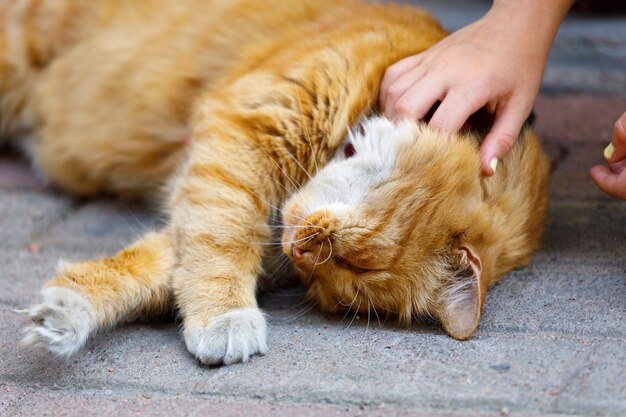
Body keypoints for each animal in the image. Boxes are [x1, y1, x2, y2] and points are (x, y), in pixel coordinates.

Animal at [1, 0, 544, 364]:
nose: (300, 253)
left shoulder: (241, 222)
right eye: (357, 260)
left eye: (343, 282)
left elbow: (156, 269)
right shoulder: (243, 140)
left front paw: (67, 312)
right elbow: (221, 243)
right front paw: (225, 319)